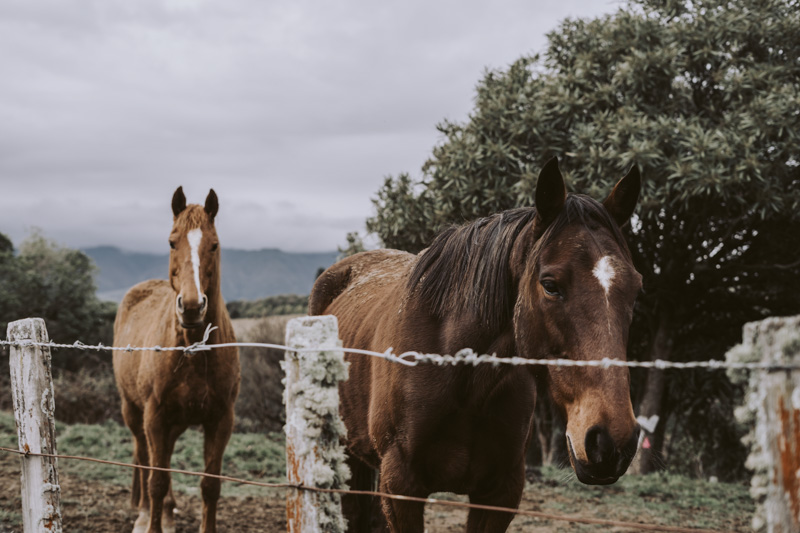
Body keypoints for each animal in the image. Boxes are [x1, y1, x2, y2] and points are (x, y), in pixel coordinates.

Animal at [112, 187, 239, 532]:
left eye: (214, 244)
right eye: (172, 242)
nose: (192, 307)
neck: (191, 352)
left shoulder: (221, 419)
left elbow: (210, 486)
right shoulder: (154, 415)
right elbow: (156, 479)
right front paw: (152, 522)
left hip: (175, 421)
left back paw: (168, 513)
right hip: (133, 411)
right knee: (145, 457)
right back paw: (145, 514)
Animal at [310, 158, 644, 532]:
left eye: (636, 289)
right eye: (550, 285)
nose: (609, 442)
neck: (463, 376)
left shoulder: (500, 494)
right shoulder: (401, 488)